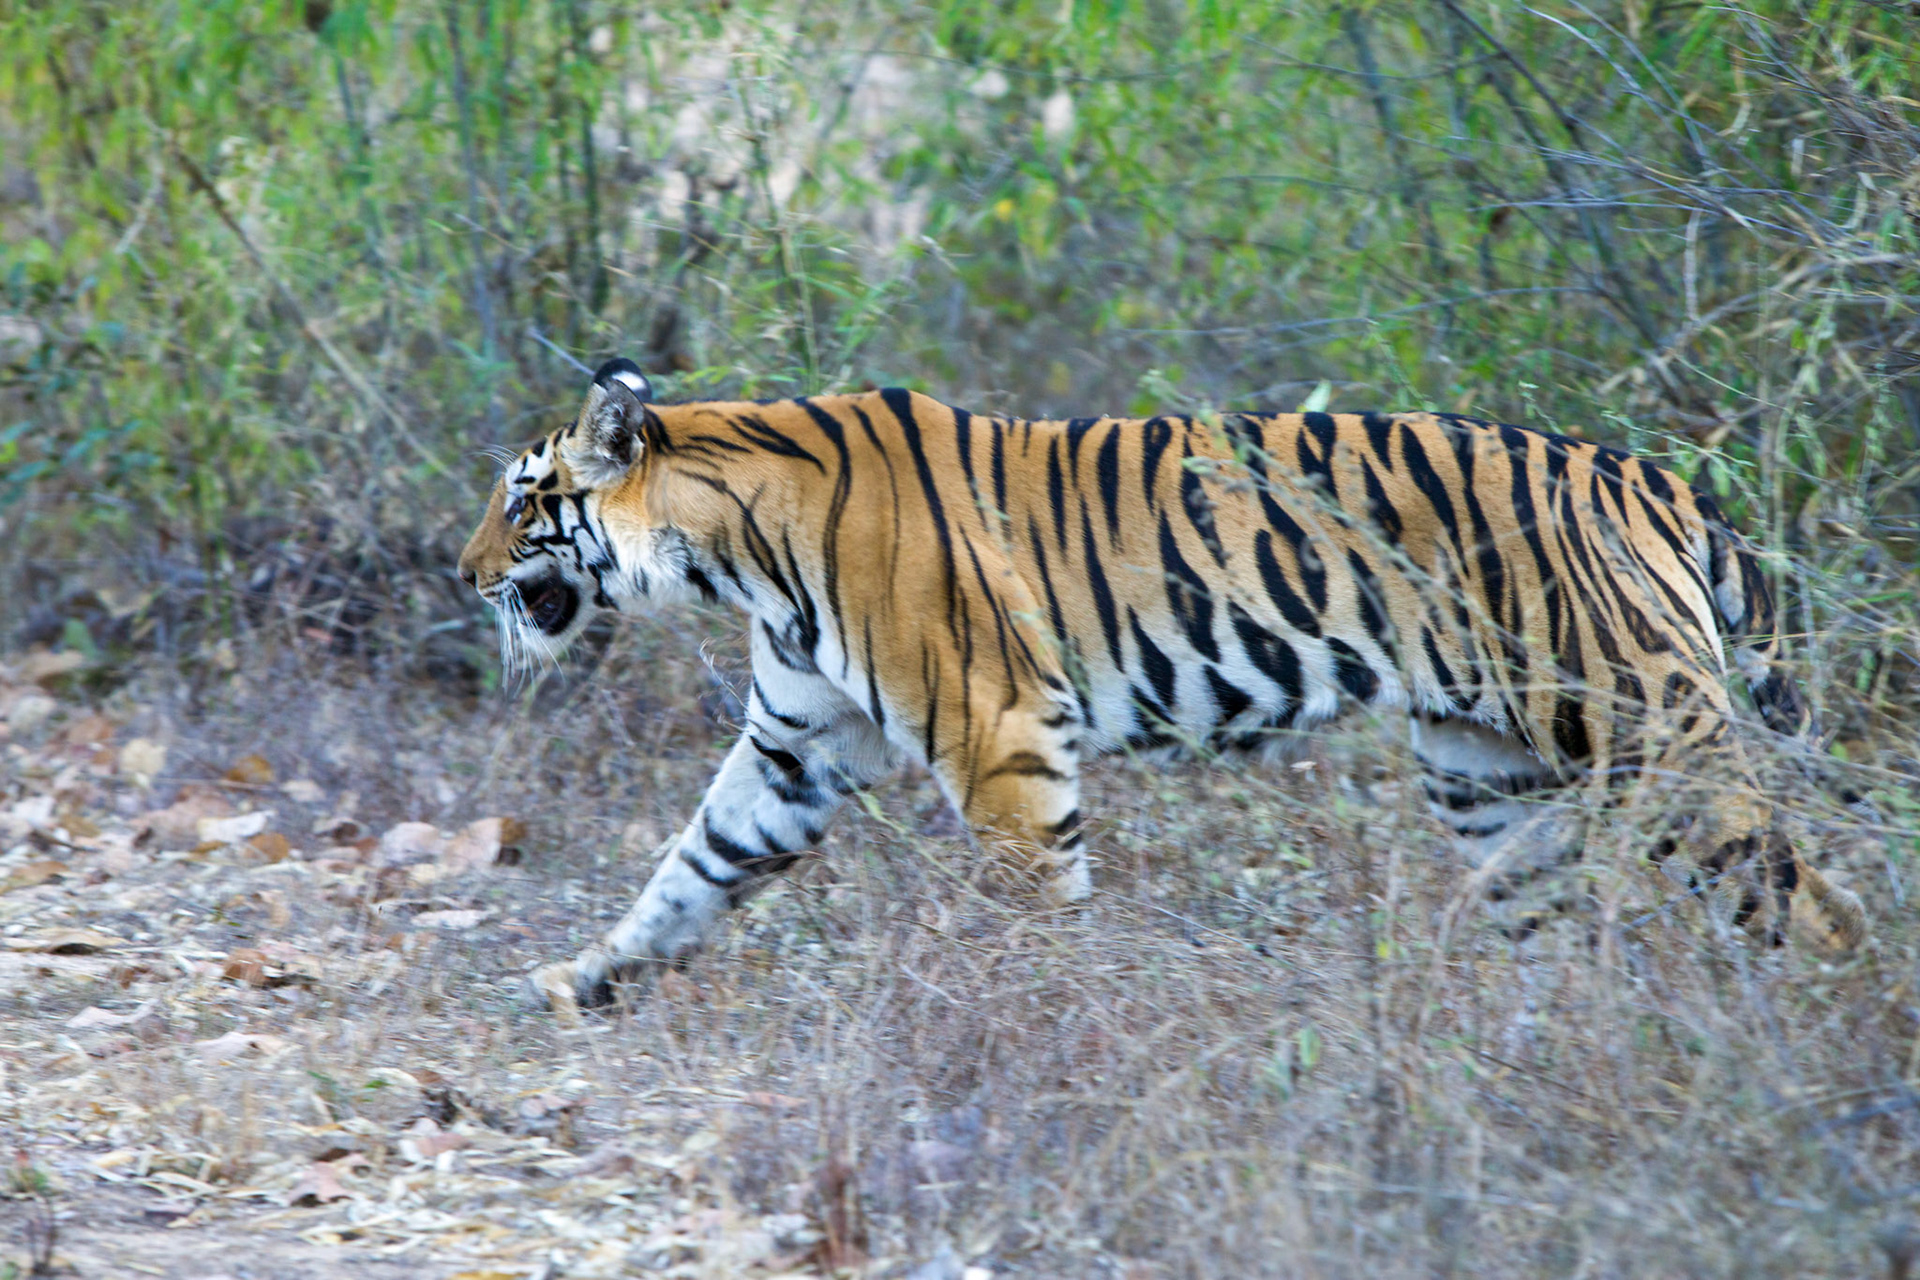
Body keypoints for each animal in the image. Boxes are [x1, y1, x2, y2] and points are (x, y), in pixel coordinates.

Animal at [457, 358, 1867, 1009]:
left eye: (525, 500)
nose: (462, 572)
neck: (730, 545)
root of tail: (1651, 474)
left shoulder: (1001, 734)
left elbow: (1039, 907)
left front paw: (1046, 1029)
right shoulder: (793, 747)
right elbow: (686, 869)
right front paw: (579, 979)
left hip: (1651, 730)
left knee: (1818, 904)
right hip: (1487, 777)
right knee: (1559, 936)